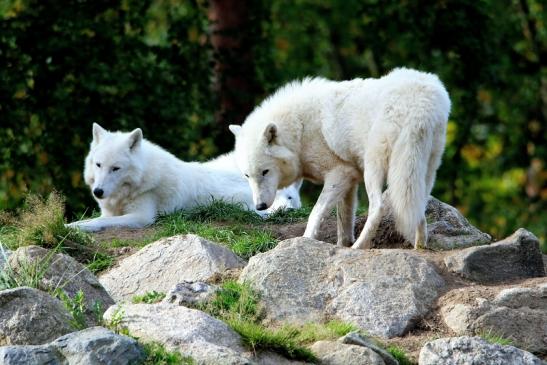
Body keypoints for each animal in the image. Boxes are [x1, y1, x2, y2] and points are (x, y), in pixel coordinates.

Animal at [67, 122, 304, 230]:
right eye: (98, 165)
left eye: (116, 168)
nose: (98, 191)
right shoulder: (109, 211)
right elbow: (95, 219)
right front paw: (71, 225)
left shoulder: (142, 217)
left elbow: (98, 222)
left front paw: (76, 228)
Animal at [230, 67, 450, 249]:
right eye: (248, 176)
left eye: (265, 172)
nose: (259, 206)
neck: (299, 129)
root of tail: (421, 103)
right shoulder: (350, 180)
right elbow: (344, 221)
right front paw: (341, 245)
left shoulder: (340, 174)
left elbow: (316, 212)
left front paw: (306, 240)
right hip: (422, 169)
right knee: (418, 206)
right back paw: (419, 245)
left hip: (374, 167)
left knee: (378, 207)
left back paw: (359, 246)